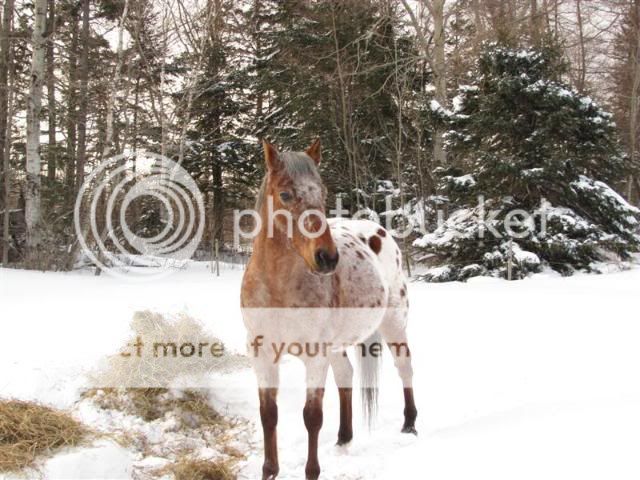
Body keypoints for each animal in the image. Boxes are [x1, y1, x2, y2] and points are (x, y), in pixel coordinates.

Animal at [242, 140, 418, 480]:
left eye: (322, 193)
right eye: (285, 194)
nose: (326, 257)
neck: (277, 288)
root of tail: (379, 230)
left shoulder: (315, 355)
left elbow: (312, 416)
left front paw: (312, 471)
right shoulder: (262, 354)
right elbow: (268, 414)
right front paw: (269, 471)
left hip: (394, 323)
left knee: (404, 367)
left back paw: (410, 424)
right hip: (338, 345)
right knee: (346, 375)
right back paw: (344, 438)